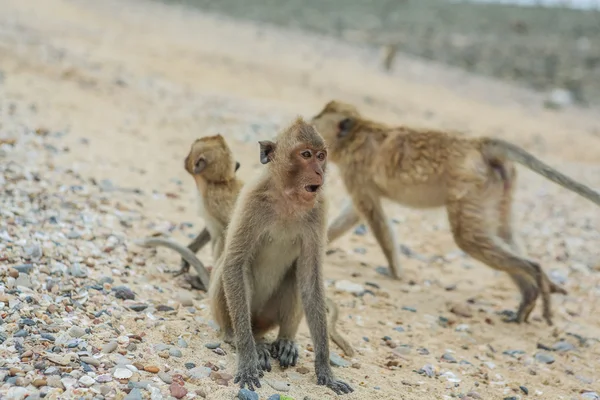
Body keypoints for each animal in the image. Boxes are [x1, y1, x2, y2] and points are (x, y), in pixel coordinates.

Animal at [210, 118, 354, 394]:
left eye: (321, 156)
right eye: (306, 155)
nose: (320, 172)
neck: (289, 198)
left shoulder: (319, 208)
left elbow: (310, 279)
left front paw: (325, 368)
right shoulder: (252, 198)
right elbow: (234, 263)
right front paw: (248, 359)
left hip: (269, 317)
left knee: (295, 276)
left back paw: (285, 340)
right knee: (233, 270)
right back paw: (244, 339)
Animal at [312, 99, 596, 324]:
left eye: (316, 123)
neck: (357, 132)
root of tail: (479, 145)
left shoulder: (356, 171)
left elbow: (372, 215)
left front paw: (396, 273)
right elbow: (356, 213)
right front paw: (323, 246)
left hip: (470, 184)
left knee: (468, 238)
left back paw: (535, 275)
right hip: (498, 186)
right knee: (503, 233)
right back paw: (529, 295)